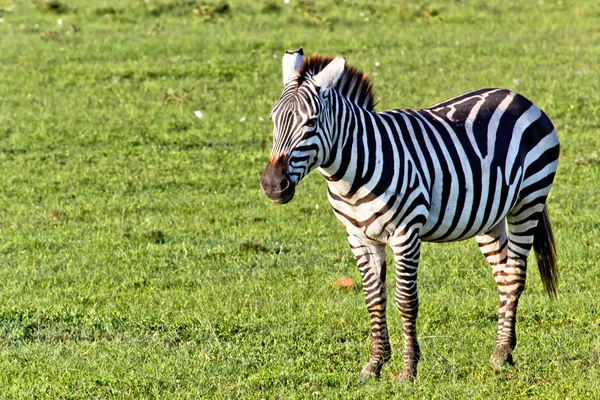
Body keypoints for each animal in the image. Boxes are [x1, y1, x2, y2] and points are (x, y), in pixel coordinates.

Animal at [260, 48, 560, 382]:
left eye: (312, 122)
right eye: (273, 118)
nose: (272, 185)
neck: (352, 170)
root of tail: (517, 96)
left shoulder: (405, 234)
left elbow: (405, 301)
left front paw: (408, 369)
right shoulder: (358, 237)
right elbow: (373, 299)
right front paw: (374, 365)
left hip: (528, 200)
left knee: (515, 274)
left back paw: (503, 352)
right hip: (489, 216)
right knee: (503, 274)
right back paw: (501, 350)